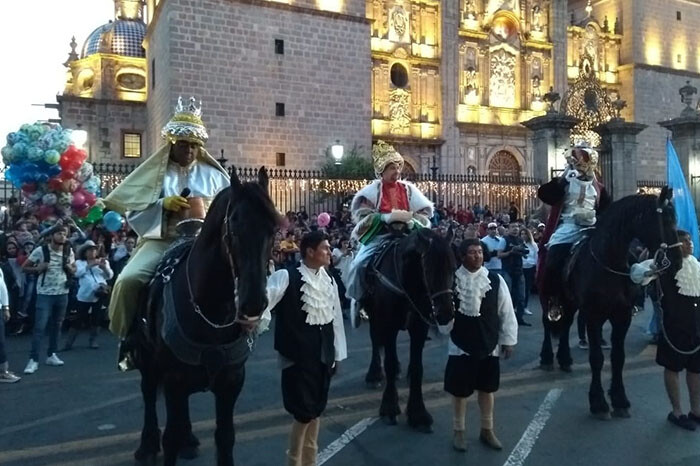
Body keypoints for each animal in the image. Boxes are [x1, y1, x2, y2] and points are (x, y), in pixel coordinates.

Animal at [134, 168, 278, 466]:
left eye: (273, 228)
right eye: (233, 227)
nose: (252, 302)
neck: (211, 309)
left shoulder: (231, 382)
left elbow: (225, 437)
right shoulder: (173, 379)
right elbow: (170, 439)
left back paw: (189, 439)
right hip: (145, 356)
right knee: (148, 392)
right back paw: (148, 444)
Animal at [360, 228, 454, 432]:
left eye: (453, 267)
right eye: (427, 269)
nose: (445, 314)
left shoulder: (419, 326)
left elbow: (418, 367)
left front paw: (418, 413)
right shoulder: (387, 323)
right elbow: (387, 361)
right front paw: (389, 407)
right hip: (374, 315)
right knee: (375, 341)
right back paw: (374, 374)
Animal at [540, 187, 680, 418]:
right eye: (666, 220)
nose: (677, 260)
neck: (608, 263)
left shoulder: (622, 317)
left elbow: (618, 357)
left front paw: (619, 399)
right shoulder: (593, 316)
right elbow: (596, 358)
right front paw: (598, 401)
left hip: (571, 301)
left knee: (566, 324)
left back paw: (565, 358)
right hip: (548, 294)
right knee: (547, 323)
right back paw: (546, 358)